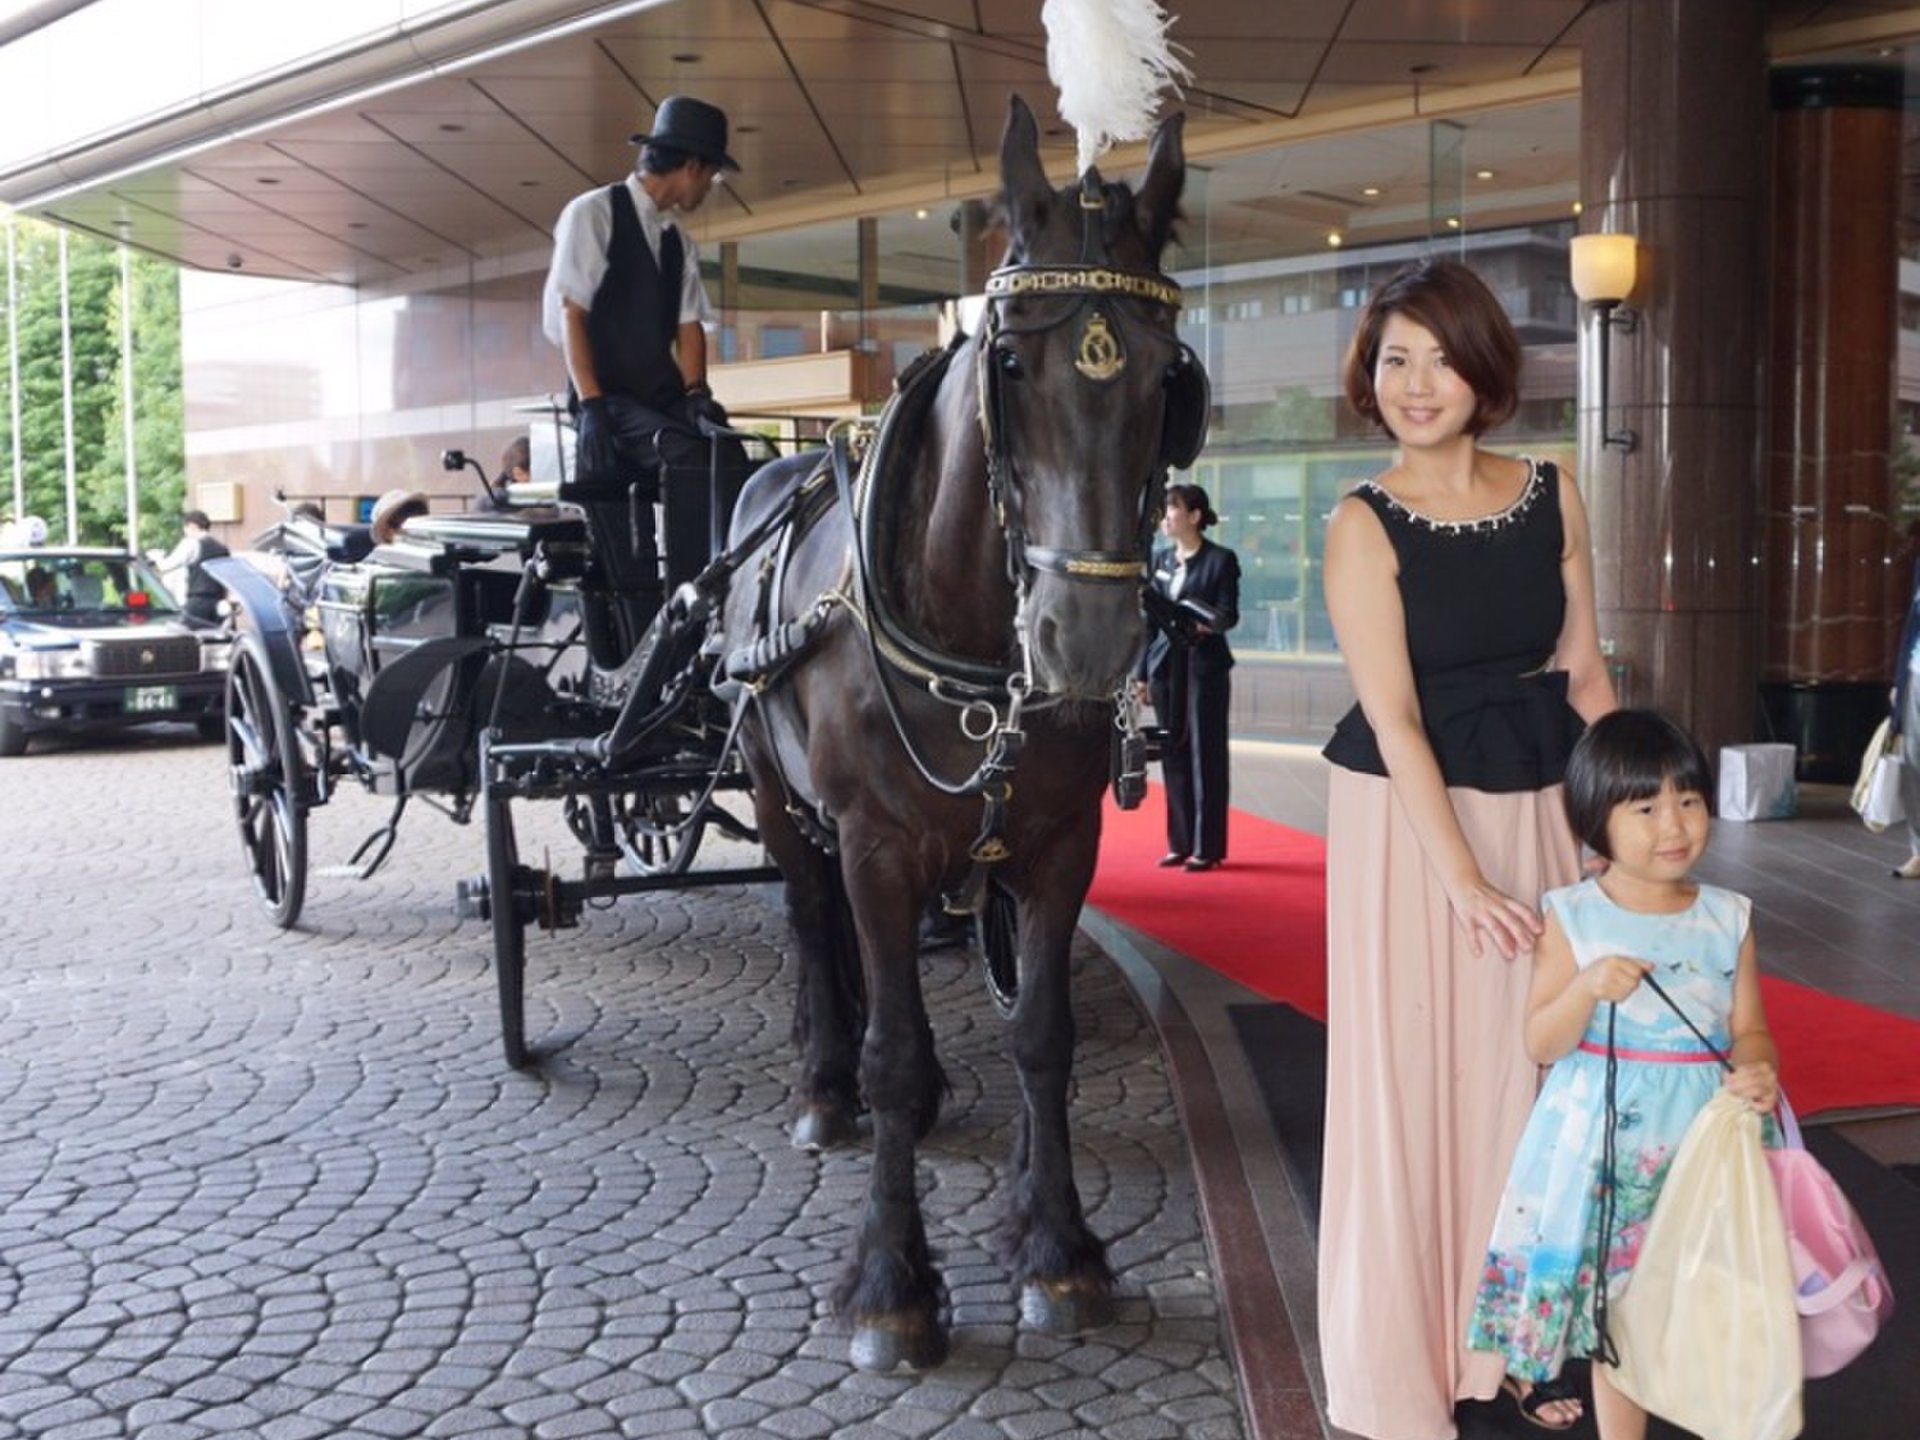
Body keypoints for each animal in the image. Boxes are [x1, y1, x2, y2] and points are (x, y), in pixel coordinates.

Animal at [721, 96, 1198, 1367]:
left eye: (1169, 377)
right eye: (1012, 361)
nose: (1088, 640)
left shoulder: (1058, 845)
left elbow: (1043, 1034)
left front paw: (1058, 1246)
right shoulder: (875, 842)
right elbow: (887, 1049)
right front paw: (892, 1282)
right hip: (780, 797)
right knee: (810, 917)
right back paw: (823, 1082)